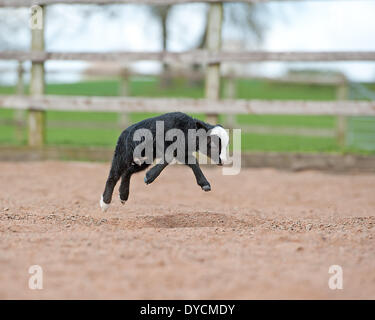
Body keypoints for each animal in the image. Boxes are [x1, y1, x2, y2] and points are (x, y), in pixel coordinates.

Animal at [100, 111, 229, 211]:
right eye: (213, 145)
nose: (223, 161)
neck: (187, 129)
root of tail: (124, 132)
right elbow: (169, 157)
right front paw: (150, 176)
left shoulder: (183, 152)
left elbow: (193, 162)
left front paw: (205, 184)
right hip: (124, 155)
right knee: (113, 176)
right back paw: (105, 203)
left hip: (144, 160)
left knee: (128, 172)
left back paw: (123, 195)